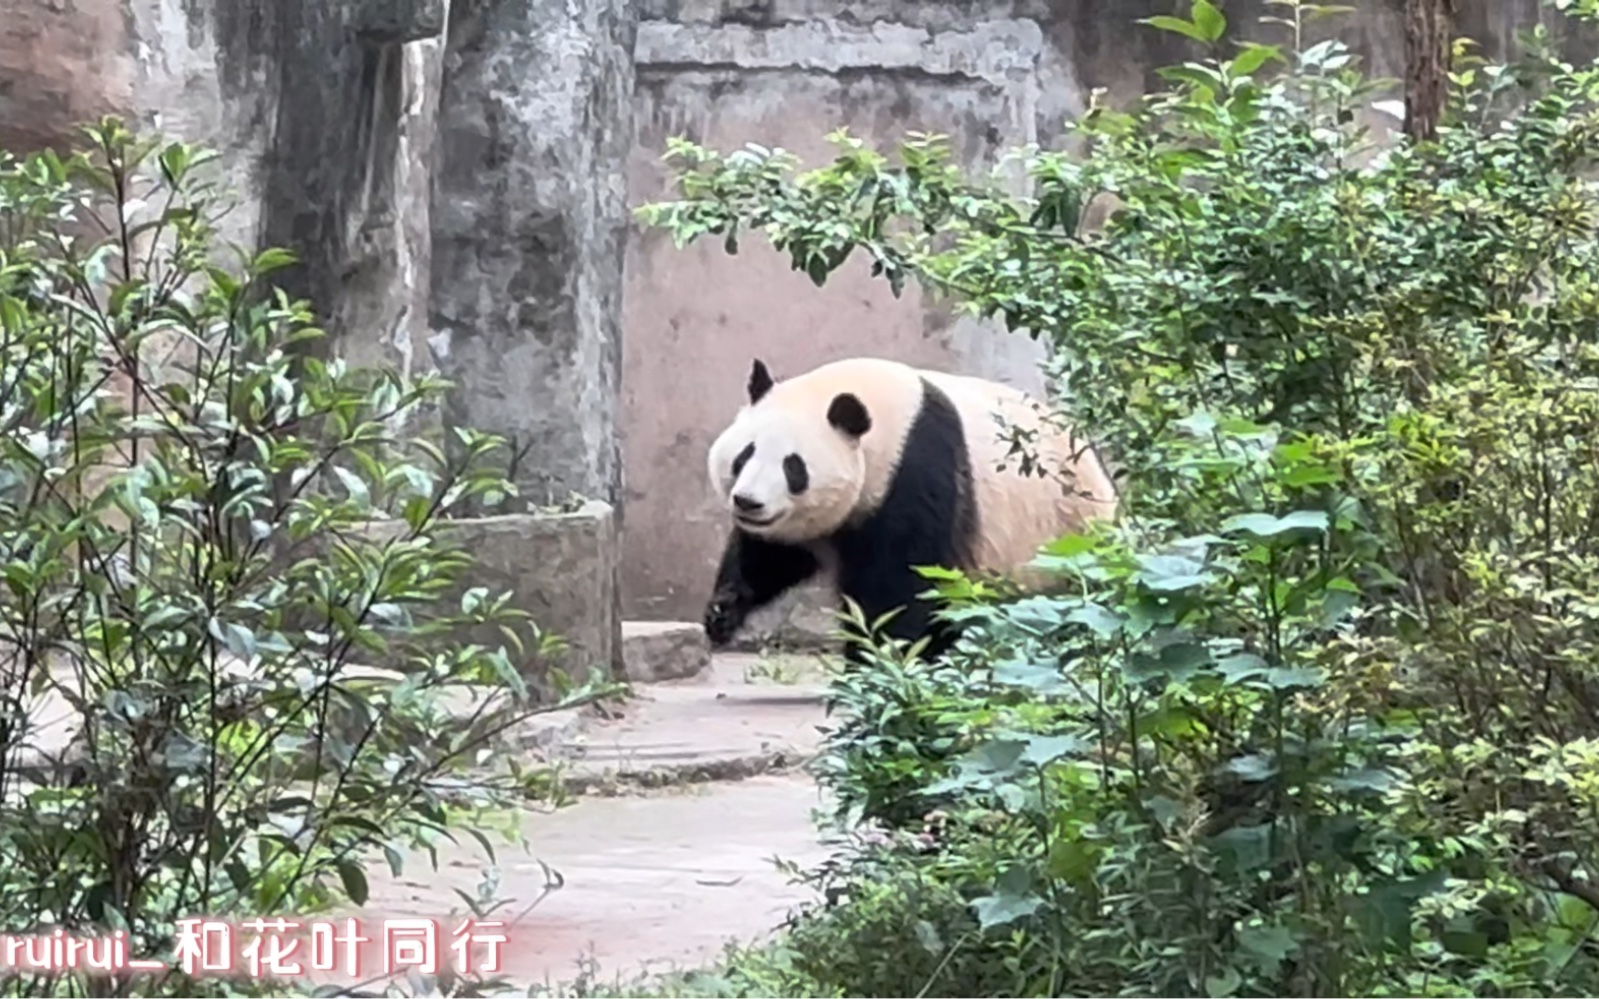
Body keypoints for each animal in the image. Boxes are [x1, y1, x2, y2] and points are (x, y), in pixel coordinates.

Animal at [706, 354, 1119, 664]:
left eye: (793, 467)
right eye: (745, 455)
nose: (748, 501)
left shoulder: (915, 473)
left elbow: (902, 581)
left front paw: (877, 659)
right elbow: (771, 556)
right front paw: (722, 612)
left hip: (1066, 540)